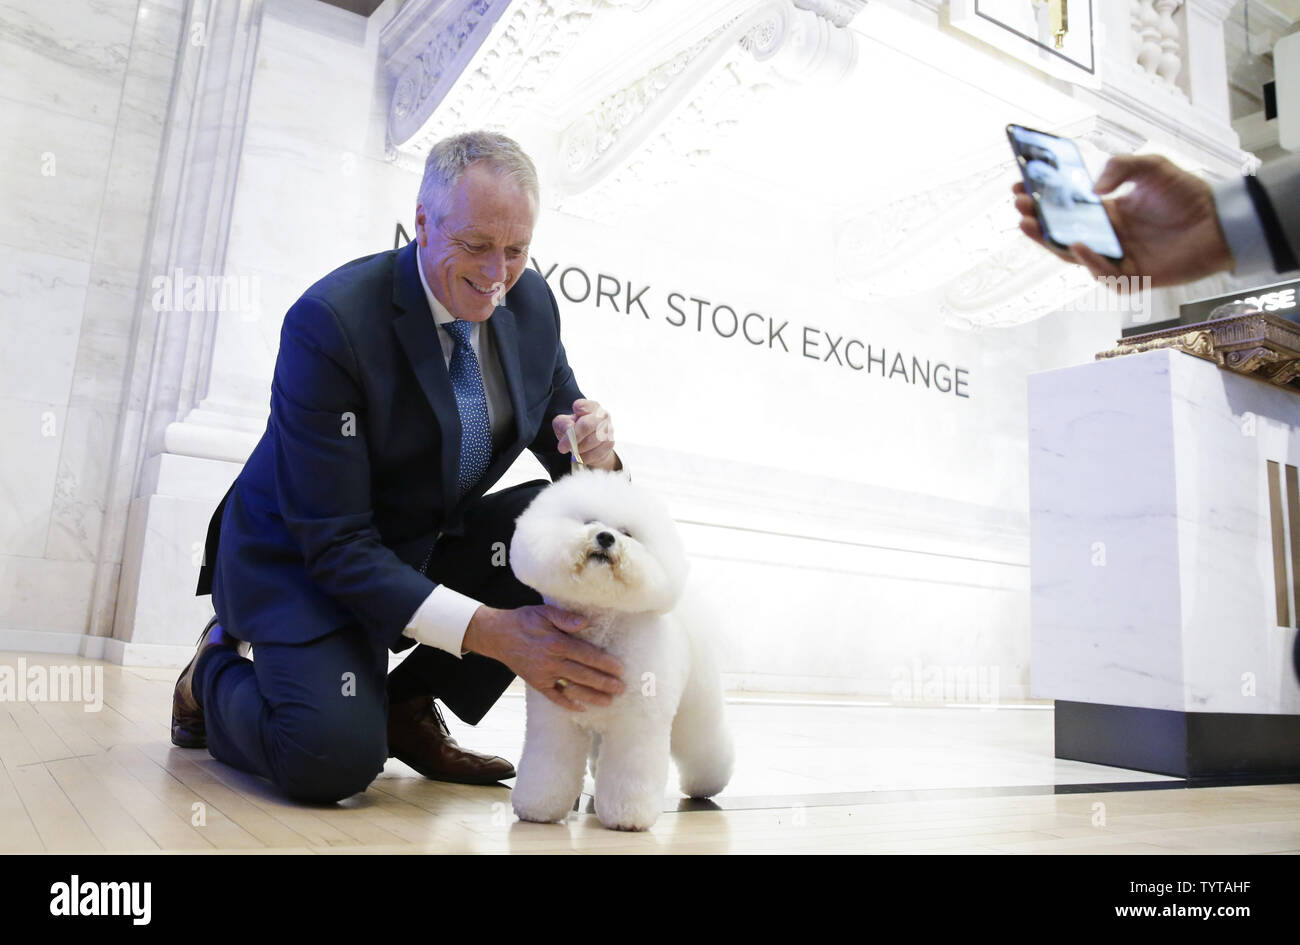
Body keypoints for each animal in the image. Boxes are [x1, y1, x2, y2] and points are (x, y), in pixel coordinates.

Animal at [504, 470, 733, 831]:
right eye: (590, 522)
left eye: (627, 533)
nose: (605, 537)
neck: (602, 628)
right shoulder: (555, 719)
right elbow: (549, 763)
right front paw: (539, 807)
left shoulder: (636, 722)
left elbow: (630, 772)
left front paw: (628, 815)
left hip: (696, 703)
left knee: (705, 744)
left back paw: (707, 785)